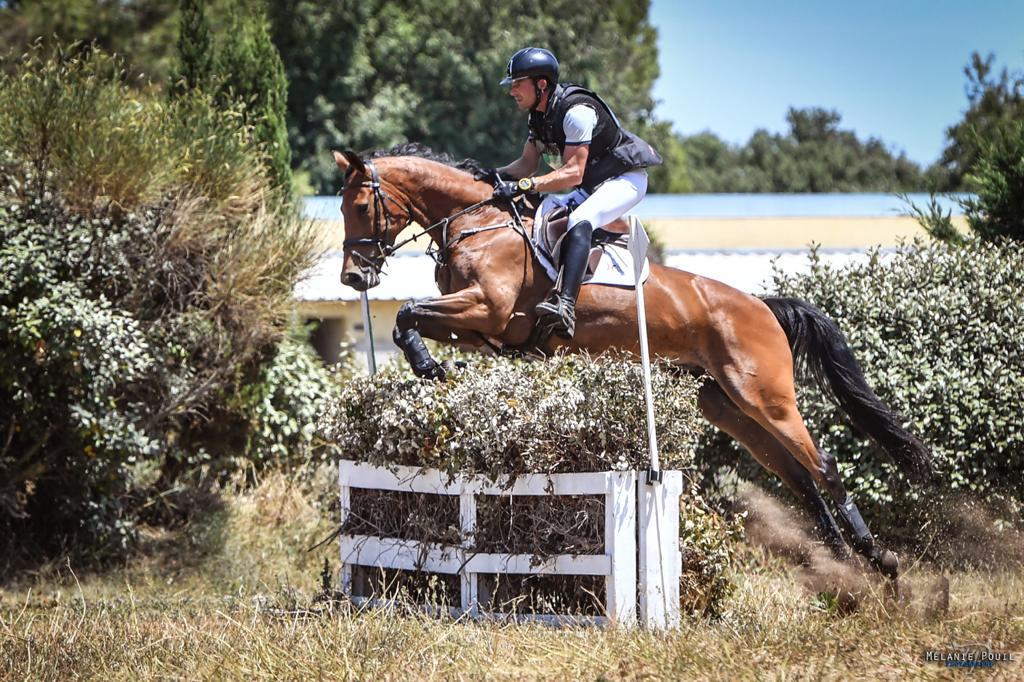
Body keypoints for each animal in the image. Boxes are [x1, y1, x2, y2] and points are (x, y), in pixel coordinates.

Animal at [331, 146, 933, 577]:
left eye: (359, 208)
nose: (354, 278)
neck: (477, 224)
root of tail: (762, 305)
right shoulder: (478, 326)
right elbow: (408, 318)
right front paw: (430, 367)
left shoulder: (489, 309)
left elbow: (406, 311)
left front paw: (429, 368)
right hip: (726, 405)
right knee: (799, 477)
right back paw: (847, 564)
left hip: (766, 395)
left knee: (823, 466)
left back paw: (880, 561)